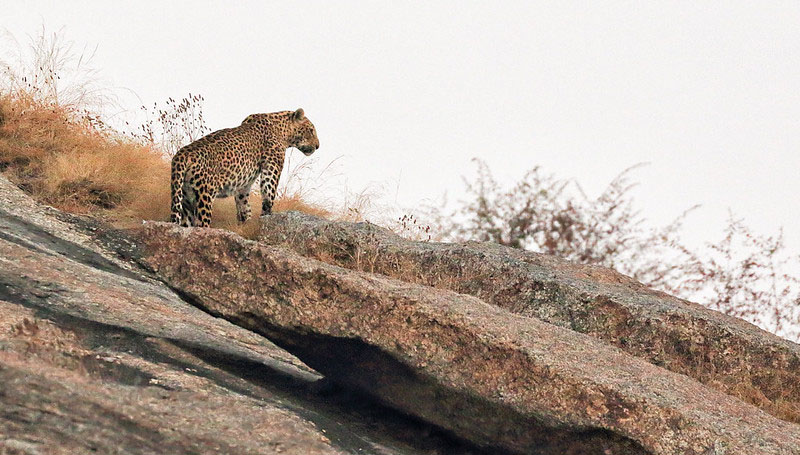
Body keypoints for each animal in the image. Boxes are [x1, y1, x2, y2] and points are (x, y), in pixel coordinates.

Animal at [171, 107, 318, 228]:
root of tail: (182, 154)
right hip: (204, 197)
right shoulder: (271, 170)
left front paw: (245, 225)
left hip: (185, 199)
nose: (318, 146)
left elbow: (244, 207)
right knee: (201, 224)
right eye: (311, 130)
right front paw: (266, 220)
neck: (282, 129)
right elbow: (268, 198)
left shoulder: (243, 186)